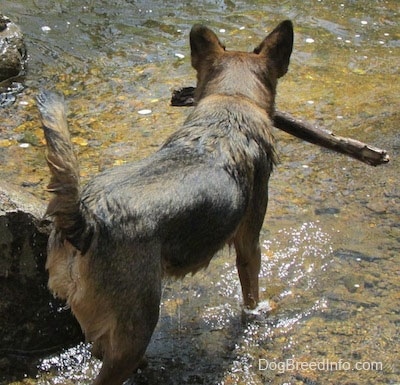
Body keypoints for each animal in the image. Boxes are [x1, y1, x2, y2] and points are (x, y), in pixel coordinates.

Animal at [36, 20, 294, 384]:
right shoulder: (249, 243)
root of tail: (87, 222)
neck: (231, 100)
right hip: (139, 324)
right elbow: (251, 291)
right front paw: (257, 311)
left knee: (100, 347)